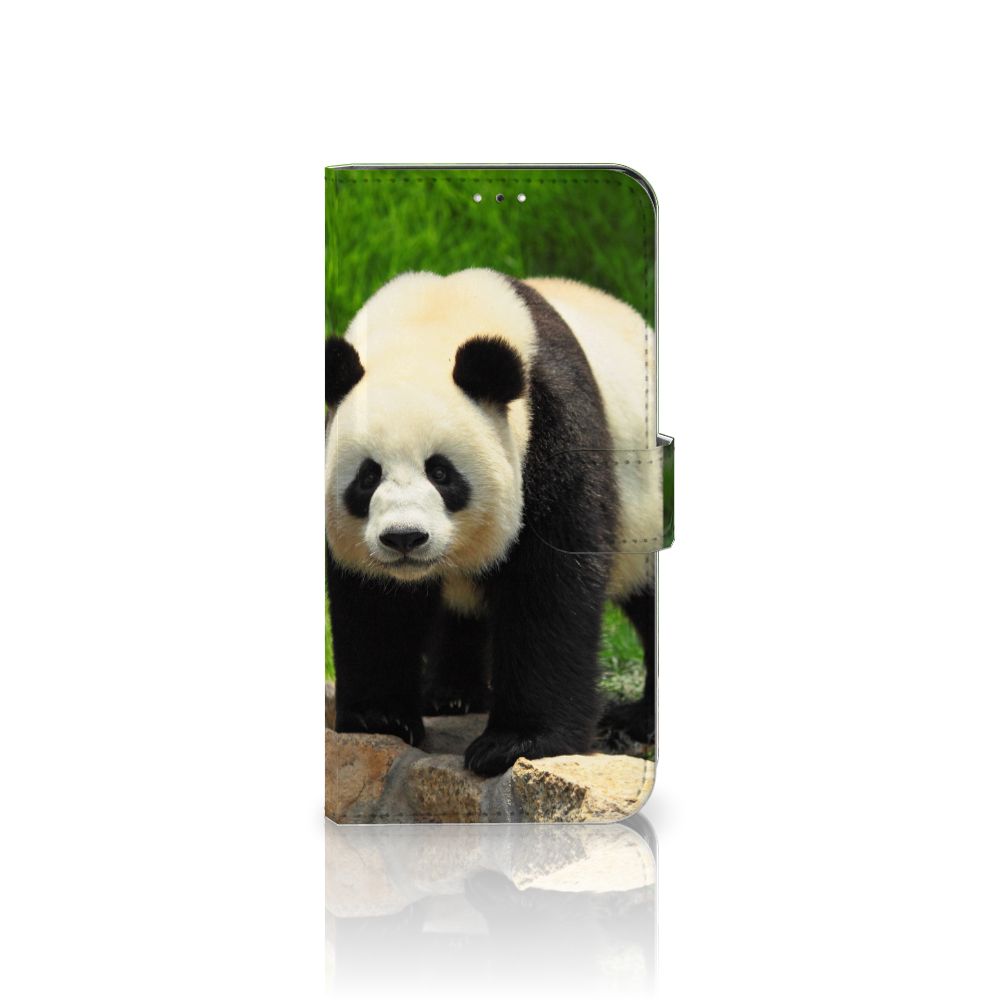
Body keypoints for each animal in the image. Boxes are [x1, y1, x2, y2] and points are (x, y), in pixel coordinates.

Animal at [325, 268, 659, 778]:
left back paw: (641, 719)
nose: (404, 538)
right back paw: (452, 695)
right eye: (367, 477)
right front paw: (379, 718)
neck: (430, 323)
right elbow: (373, 601)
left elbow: (549, 585)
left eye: (441, 472)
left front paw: (516, 743)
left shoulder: (552, 427)